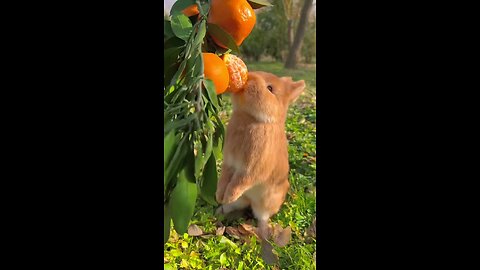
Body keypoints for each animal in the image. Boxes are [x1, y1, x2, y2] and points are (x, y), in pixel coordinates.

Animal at [216, 70, 306, 239]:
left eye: (270, 88)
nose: (249, 77)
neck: (251, 119)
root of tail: (250, 200)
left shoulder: (252, 169)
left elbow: (240, 181)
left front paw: (228, 195)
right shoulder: (229, 163)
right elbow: (224, 178)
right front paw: (219, 196)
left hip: (267, 201)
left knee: (262, 216)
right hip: (244, 200)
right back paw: (220, 210)